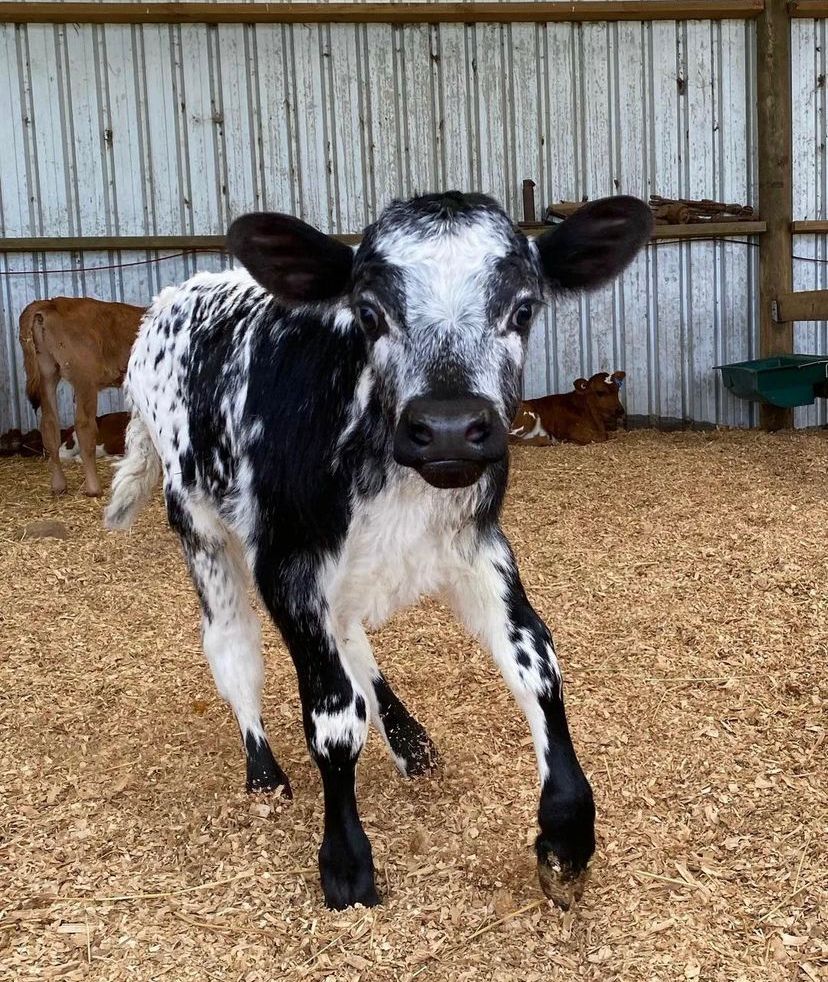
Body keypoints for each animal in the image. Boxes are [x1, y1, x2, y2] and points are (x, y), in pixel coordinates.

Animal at [18, 298, 144, 500]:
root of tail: (50, 303)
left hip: (47, 371)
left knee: (49, 424)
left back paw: (58, 486)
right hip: (85, 378)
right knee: (84, 426)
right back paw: (93, 488)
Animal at [106, 194, 652, 916]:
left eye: (523, 308)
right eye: (369, 313)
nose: (448, 428)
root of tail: (173, 296)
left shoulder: (477, 544)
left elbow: (537, 664)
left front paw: (566, 835)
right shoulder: (287, 564)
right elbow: (333, 717)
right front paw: (345, 863)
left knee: (349, 638)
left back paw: (410, 741)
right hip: (198, 524)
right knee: (232, 644)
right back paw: (264, 775)